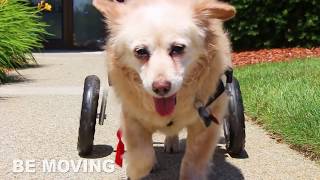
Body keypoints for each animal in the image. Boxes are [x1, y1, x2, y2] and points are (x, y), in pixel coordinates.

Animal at [92, 0, 235, 179]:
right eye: (141, 51)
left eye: (178, 48)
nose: (161, 88)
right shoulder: (132, 119)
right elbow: (143, 157)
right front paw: (134, 170)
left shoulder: (206, 124)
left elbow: (193, 162)